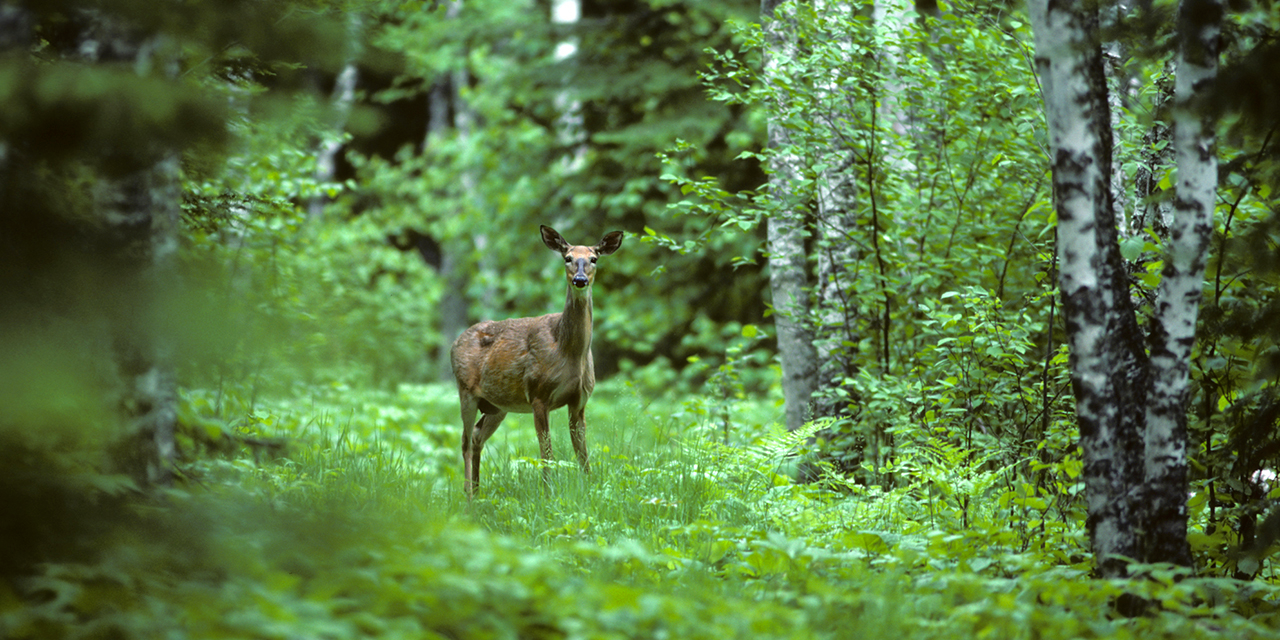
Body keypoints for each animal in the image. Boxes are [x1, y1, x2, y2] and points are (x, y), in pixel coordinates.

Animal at [450, 227, 624, 496]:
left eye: (594, 258)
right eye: (568, 258)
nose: (580, 280)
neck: (568, 351)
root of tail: (455, 342)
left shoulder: (580, 400)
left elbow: (582, 454)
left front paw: (589, 489)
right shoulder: (538, 395)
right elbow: (547, 453)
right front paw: (548, 493)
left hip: (497, 405)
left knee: (477, 436)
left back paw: (478, 494)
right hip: (466, 391)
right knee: (465, 442)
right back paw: (469, 497)